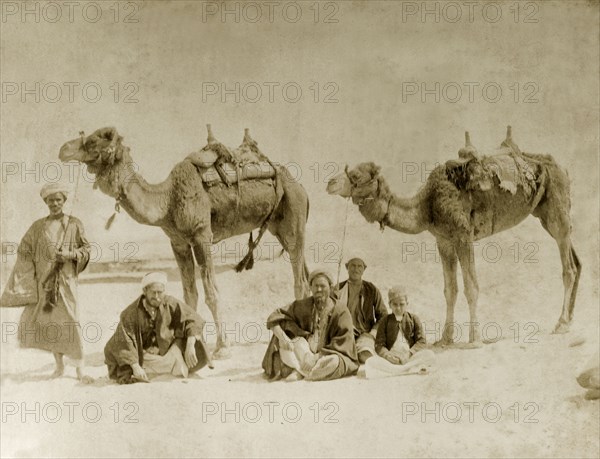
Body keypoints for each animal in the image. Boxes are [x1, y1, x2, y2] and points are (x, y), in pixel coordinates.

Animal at [59, 125, 312, 356]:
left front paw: (222, 346)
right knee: (303, 272)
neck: (167, 200)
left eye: (94, 141)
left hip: (294, 215)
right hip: (278, 226)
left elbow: (212, 293)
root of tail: (299, 185)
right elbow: (189, 295)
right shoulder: (178, 242)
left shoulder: (201, 236)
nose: (63, 149)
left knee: (299, 278)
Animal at [328, 126, 580, 344]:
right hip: (545, 214)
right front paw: (445, 339)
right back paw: (569, 319)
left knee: (568, 267)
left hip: (557, 208)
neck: (428, 206)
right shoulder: (444, 240)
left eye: (356, 176)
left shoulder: (463, 235)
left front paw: (474, 339)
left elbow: (471, 287)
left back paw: (561, 323)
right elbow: (450, 290)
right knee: (576, 261)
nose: (330, 182)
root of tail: (562, 168)